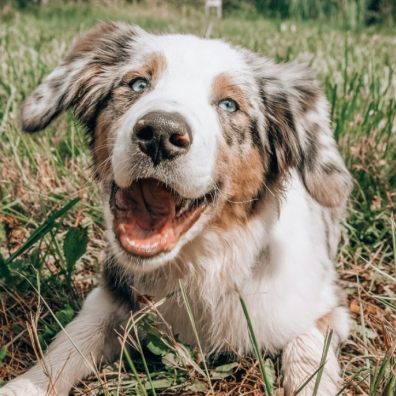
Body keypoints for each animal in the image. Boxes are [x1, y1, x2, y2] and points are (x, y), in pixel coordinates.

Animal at [0, 22, 352, 396]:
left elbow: (307, 348)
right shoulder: (109, 297)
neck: (198, 266)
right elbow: (69, 344)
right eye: (138, 84)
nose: (160, 132)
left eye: (229, 105)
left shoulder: (324, 303)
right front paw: (24, 386)